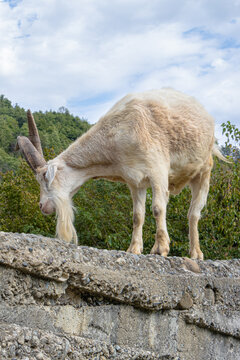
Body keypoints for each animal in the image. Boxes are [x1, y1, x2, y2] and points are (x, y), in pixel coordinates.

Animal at [16, 88, 227, 260]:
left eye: (44, 178)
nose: (42, 206)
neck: (116, 135)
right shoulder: (135, 180)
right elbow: (137, 215)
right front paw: (133, 249)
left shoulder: (158, 169)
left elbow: (158, 208)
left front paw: (160, 249)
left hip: (204, 170)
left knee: (194, 213)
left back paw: (196, 253)